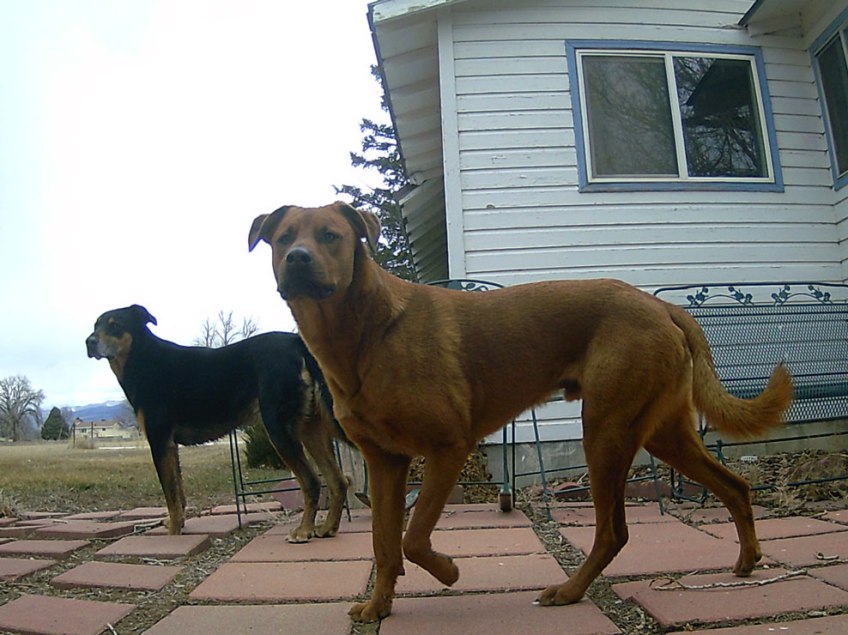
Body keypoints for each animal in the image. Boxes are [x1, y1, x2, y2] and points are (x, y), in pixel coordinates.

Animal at [86, 304, 349, 541]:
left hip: (279, 428)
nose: (89, 342)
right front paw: (179, 525)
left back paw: (304, 531)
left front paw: (172, 532)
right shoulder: (171, 446)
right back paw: (328, 528)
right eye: (96, 325)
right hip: (310, 428)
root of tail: (296, 341)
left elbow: (170, 494)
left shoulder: (159, 441)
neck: (141, 358)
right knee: (338, 480)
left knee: (311, 481)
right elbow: (179, 493)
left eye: (115, 325)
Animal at [249, 202, 793, 622]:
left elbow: (413, 537)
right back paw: (747, 562)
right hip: (663, 433)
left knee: (613, 531)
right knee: (735, 487)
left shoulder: (448, 447)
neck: (363, 334)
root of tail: (661, 306)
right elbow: (384, 544)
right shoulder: (385, 462)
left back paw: (570, 592)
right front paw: (379, 606)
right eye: (283, 239)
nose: (297, 259)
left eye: (330, 236)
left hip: (605, 431)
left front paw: (447, 571)